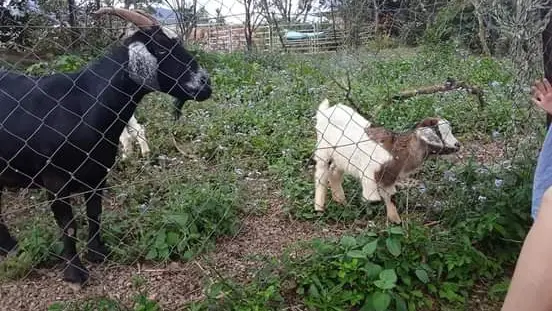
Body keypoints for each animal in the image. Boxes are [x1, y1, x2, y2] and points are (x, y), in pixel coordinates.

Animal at [0, 7, 211, 286]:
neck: (82, 103)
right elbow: (68, 225)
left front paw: (98, 253)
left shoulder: (98, 172)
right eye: (161, 49)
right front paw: (75, 273)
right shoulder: (54, 180)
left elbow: (95, 212)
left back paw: (11, 247)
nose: (205, 84)